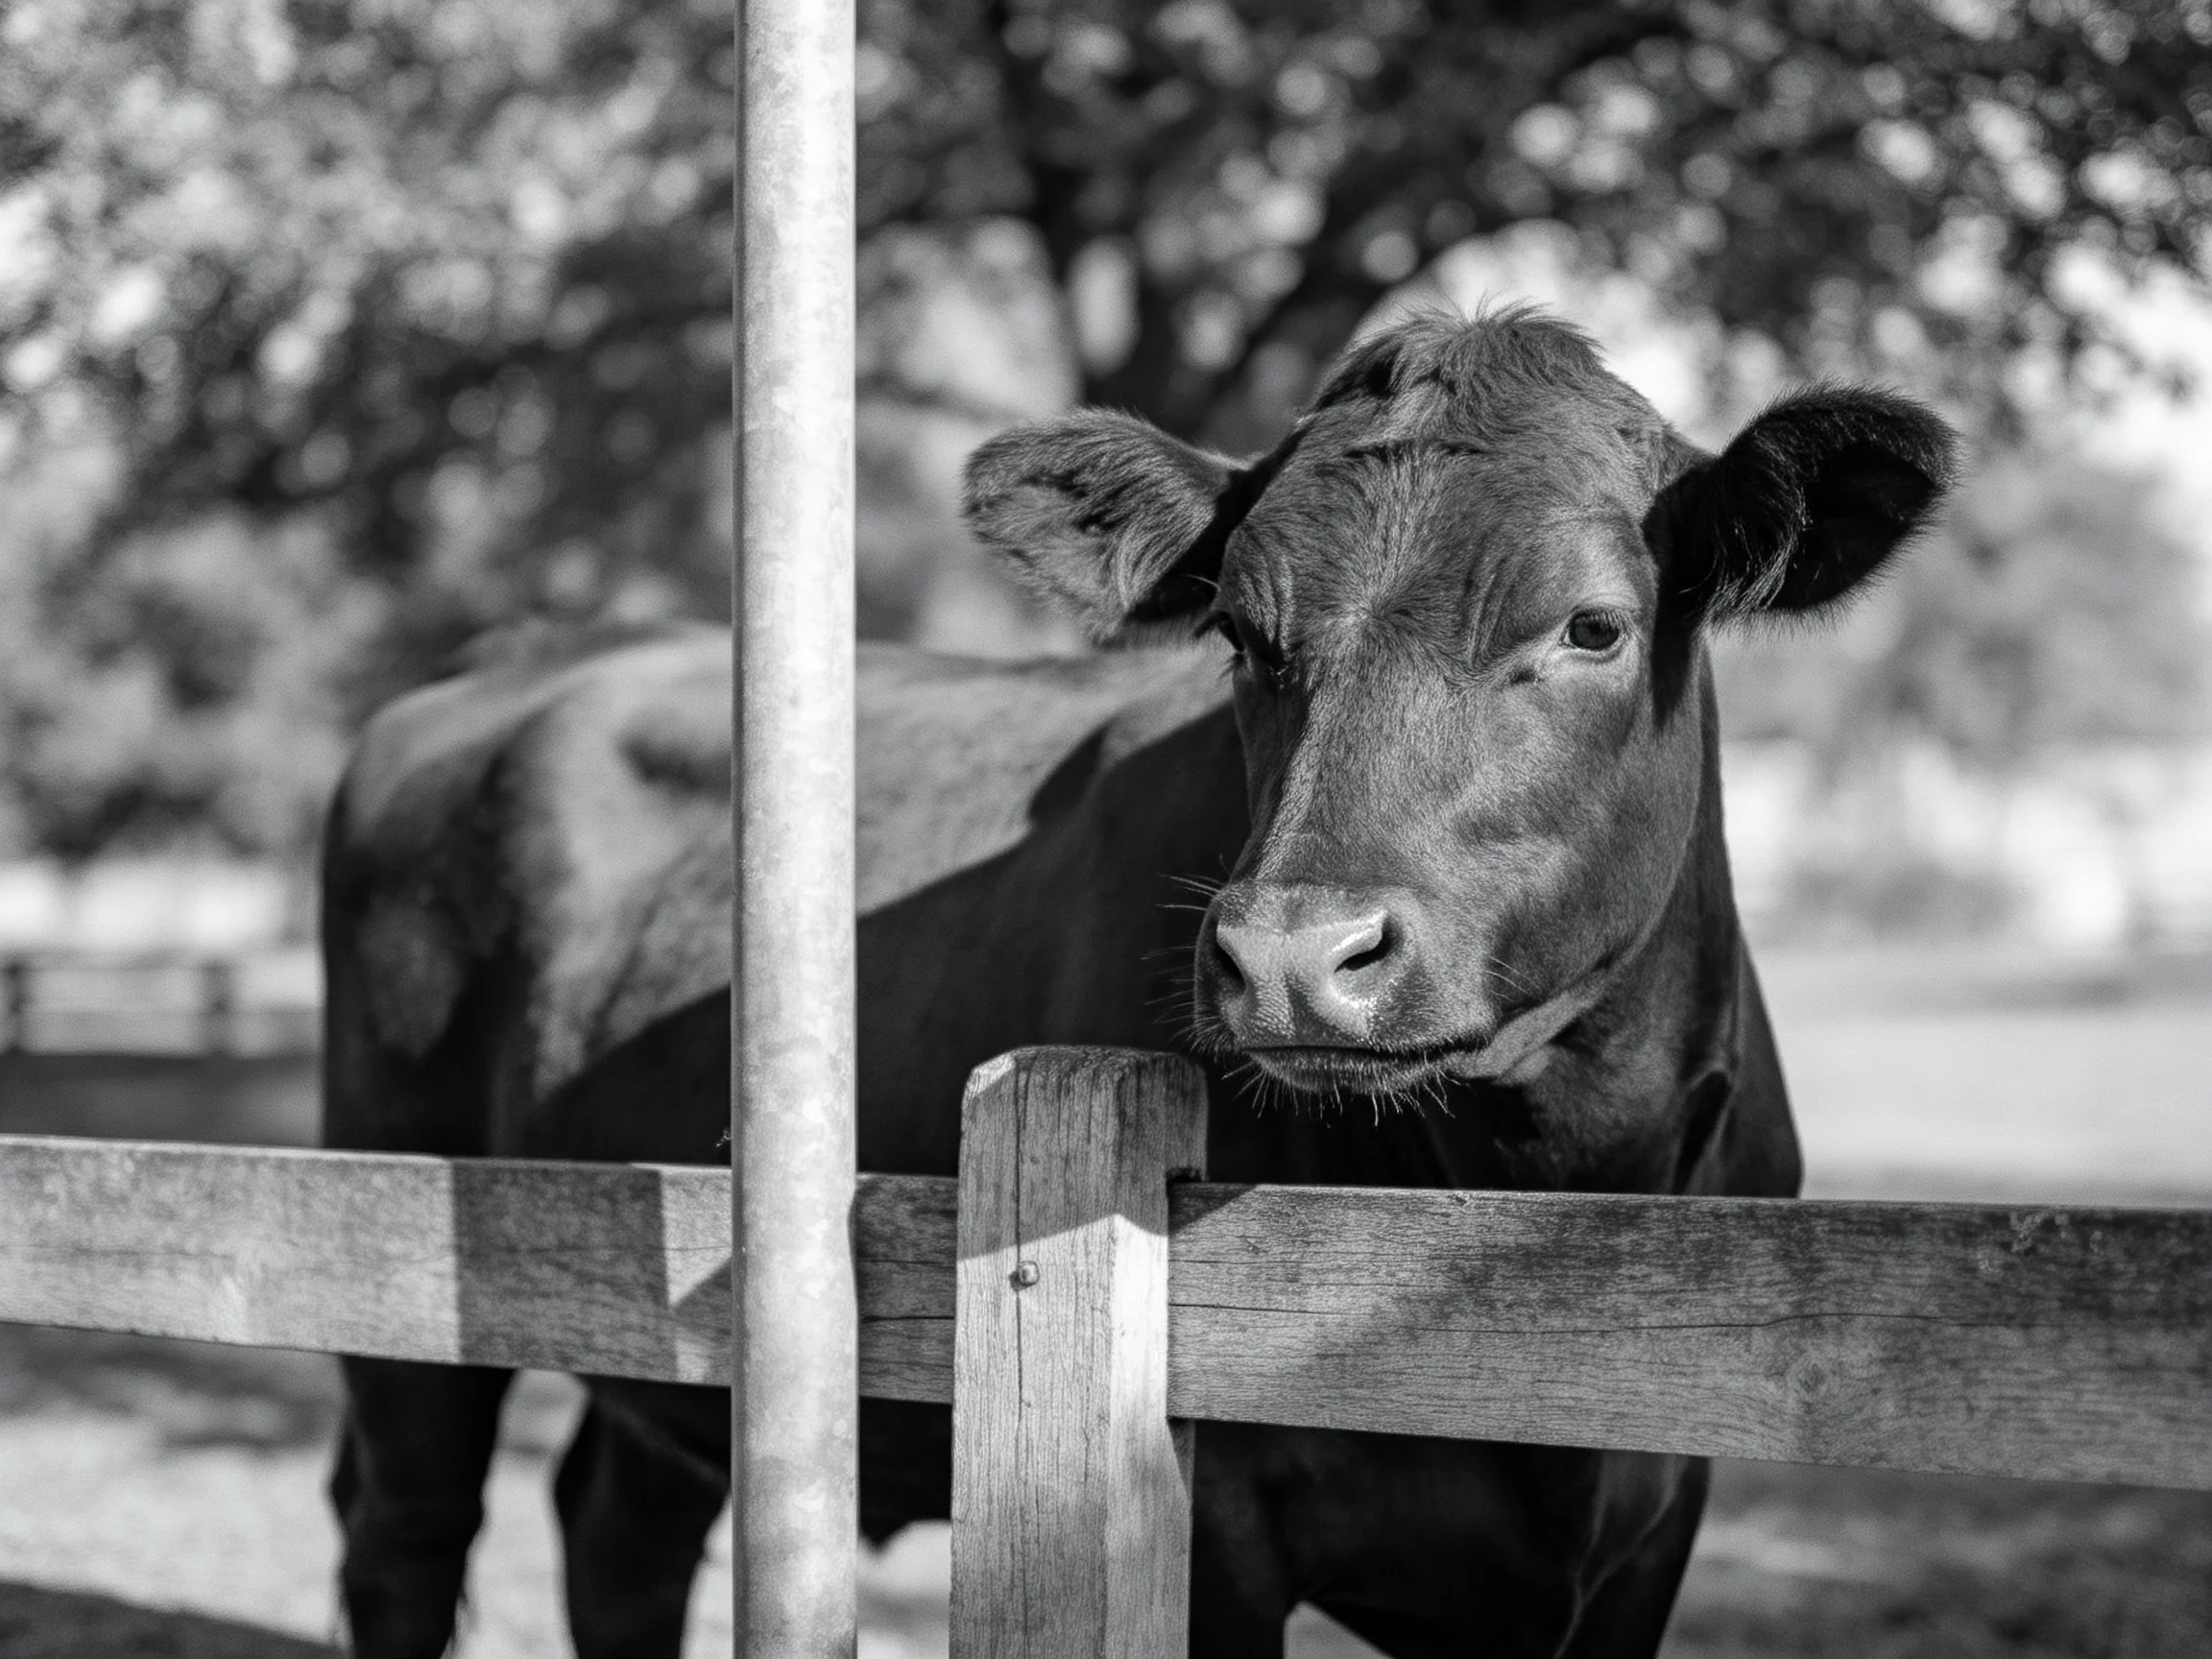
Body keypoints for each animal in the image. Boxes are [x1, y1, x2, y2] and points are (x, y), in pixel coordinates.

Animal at [321, 308, 1954, 1658]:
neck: (1539, 1199)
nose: (1293, 955)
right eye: (1237, 632)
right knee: (405, 1534)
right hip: (398, 1221)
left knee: (621, 1528)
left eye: (1593, 625)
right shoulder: (1211, 1517)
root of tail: (521, 652)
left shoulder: (1646, 1532)